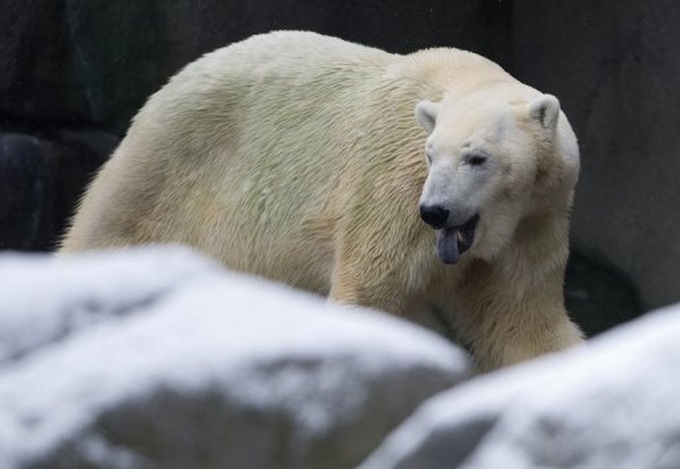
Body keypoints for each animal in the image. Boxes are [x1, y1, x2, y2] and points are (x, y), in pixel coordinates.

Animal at [60, 31, 583, 371]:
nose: (435, 211)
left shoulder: (533, 221)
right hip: (163, 174)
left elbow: (522, 325)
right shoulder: (392, 192)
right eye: (431, 154)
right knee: (105, 236)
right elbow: (370, 290)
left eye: (477, 157)